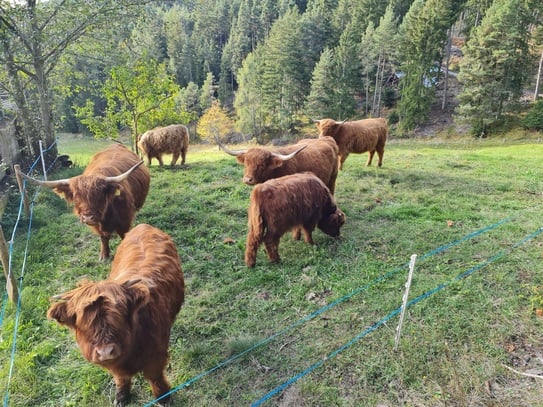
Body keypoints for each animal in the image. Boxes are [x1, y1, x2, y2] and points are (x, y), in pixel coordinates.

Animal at [18, 143, 150, 260]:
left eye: (99, 195)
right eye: (76, 197)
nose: (88, 217)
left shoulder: (124, 221)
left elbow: (125, 237)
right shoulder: (98, 226)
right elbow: (103, 238)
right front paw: (104, 256)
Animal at [45, 225, 185, 406]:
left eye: (119, 314)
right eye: (83, 320)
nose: (105, 352)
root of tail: (143, 226)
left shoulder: (155, 356)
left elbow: (155, 377)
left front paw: (163, 397)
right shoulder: (117, 366)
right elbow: (121, 378)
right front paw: (121, 397)